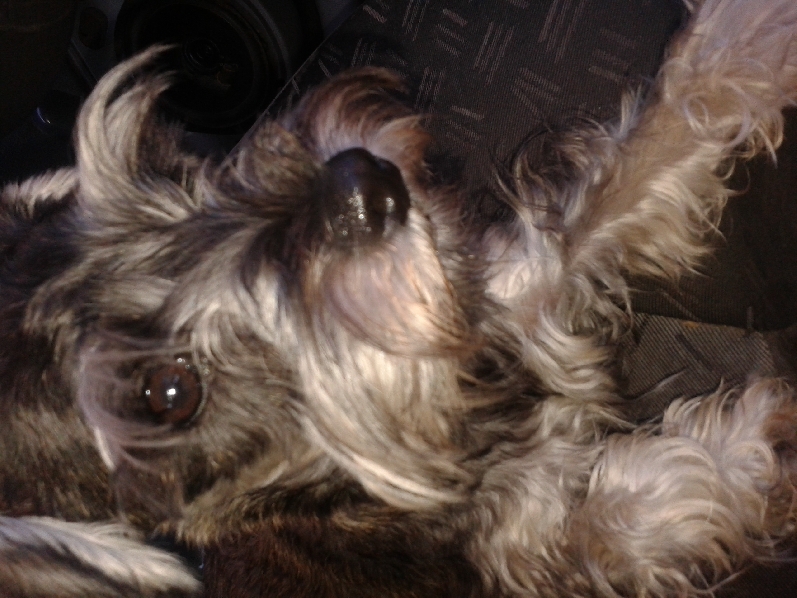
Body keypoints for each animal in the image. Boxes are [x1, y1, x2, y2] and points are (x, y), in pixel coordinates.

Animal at [2, 0, 797, 596]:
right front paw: (767, 437)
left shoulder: (520, 279)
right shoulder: (536, 548)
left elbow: (649, 149)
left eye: (163, 165)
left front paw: (747, 34)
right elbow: (654, 499)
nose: (360, 184)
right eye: (168, 393)